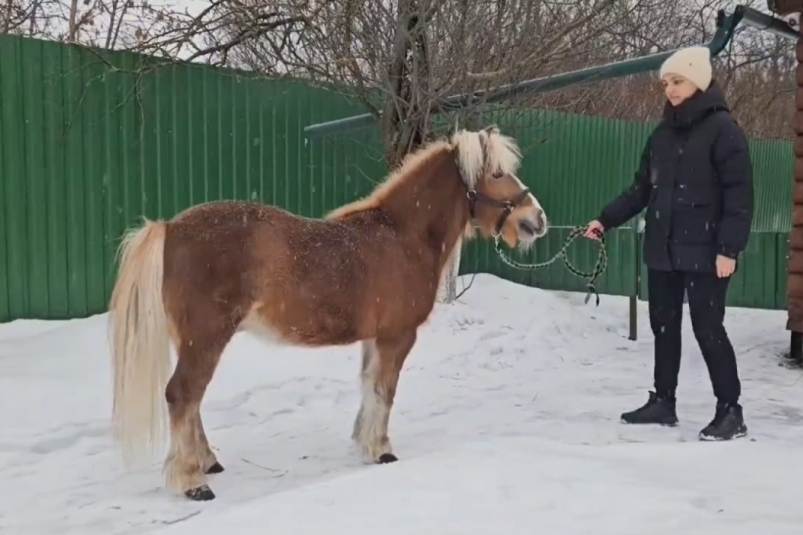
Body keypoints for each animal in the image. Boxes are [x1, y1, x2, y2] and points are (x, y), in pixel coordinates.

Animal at [108, 124, 548, 502]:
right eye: (497, 173)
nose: (537, 220)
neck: (403, 236)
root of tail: (169, 228)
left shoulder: (375, 338)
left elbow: (369, 386)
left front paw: (363, 442)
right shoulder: (397, 336)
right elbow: (385, 391)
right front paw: (382, 449)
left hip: (195, 341)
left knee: (192, 400)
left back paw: (207, 462)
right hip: (206, 338)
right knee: (182, 395)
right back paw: (191, 482)